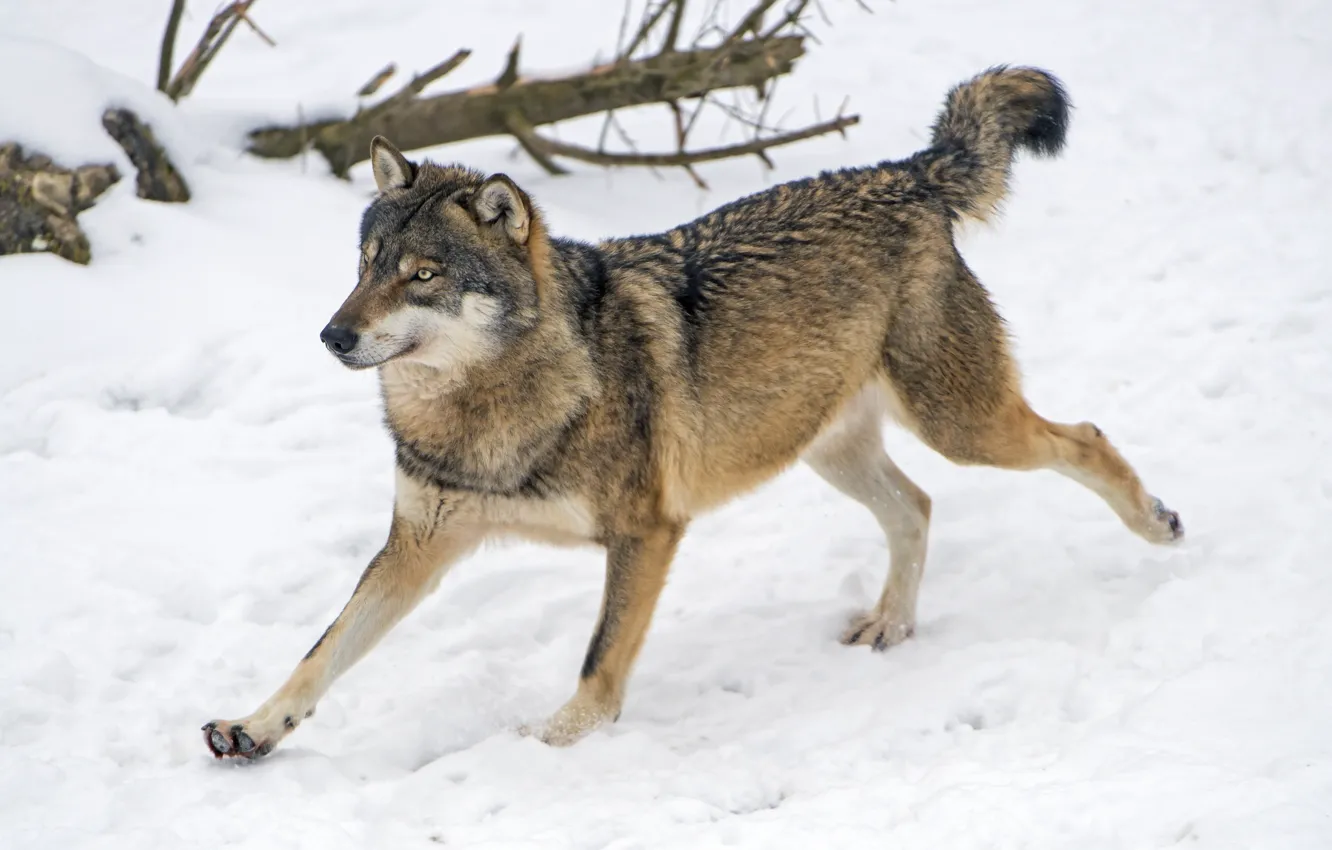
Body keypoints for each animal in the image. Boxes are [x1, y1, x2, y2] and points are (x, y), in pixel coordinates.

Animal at [202, 66, 1182, 756]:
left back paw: (1158, 525)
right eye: (366, 263)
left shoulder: (647, 533)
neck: (486, 408)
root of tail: (904, 172)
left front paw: (550, 744)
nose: (332, 335)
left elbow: (599, 661)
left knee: (1083, 437)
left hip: (962, 427)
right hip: (831, 450)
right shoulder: (413, 549)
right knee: (918, 506)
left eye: (423, 276)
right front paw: (252, 729)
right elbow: (320, 653)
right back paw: (891, 626)